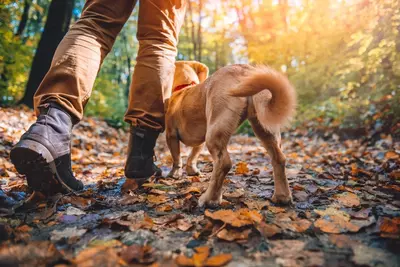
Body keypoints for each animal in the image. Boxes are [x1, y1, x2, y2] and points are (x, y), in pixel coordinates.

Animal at [166, 60, 296, 207]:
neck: (184, 88)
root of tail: (244, 69)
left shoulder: (171, 135)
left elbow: (177, 157)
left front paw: (174, 173)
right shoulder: (199, 142)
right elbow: (193, 156)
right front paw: (191, 170)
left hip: (214, 131)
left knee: (223, 163)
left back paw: (210, 199)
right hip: (264, 129)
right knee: (279, 159)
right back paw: (282, 197)